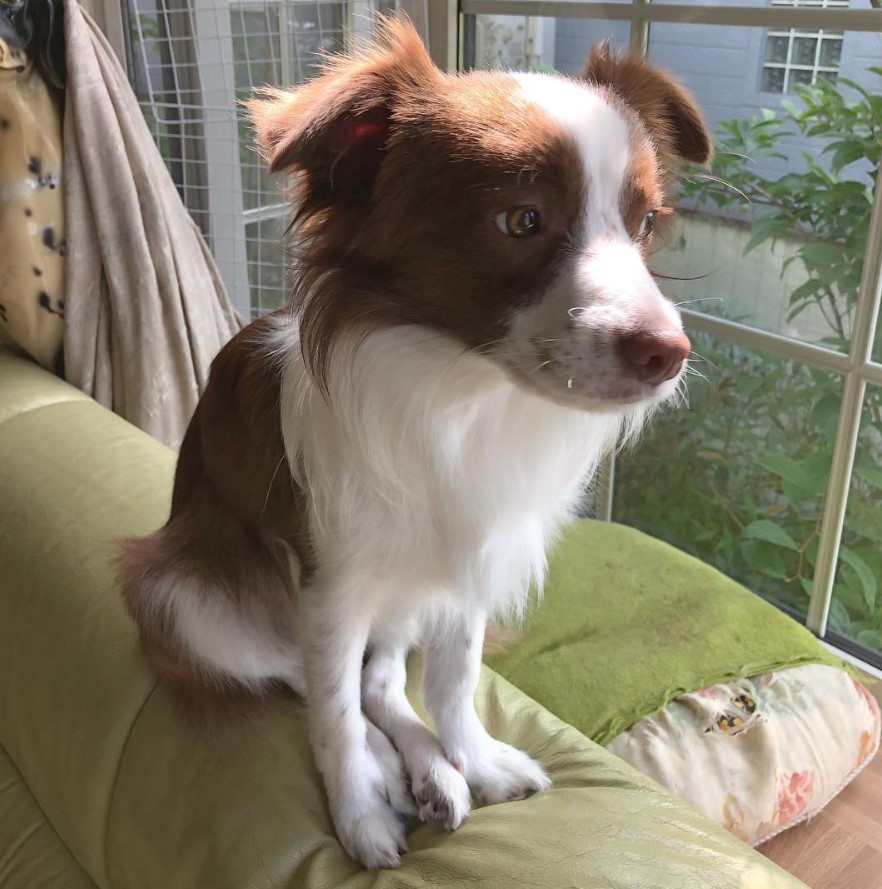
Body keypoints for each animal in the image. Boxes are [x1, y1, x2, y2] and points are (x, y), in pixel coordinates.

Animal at [117, 19, 708, 868]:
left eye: (646, 225)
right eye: (522, 221)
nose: (668, 353)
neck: (464, 392)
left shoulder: (466, 563)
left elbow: (450, 679)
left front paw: (474, 757)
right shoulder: (330, 584)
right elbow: (331, 712)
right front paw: (359, 808)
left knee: (378, 682)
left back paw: (432, 770)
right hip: (179, 593)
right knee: (308, 682)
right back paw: (393, 772)